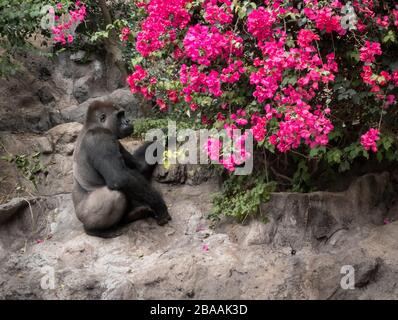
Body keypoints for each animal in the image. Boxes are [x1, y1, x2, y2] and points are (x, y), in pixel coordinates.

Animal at [73, 100, 171, 238]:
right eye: (119, 116)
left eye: (123, 114)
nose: (128, 121)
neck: (95, 126)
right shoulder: (100, 138)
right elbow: (119, 178)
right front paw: (160, 206)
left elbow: (139, 165)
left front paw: (169, 132)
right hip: (84, 216)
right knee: (115, 195)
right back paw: (96, 230)